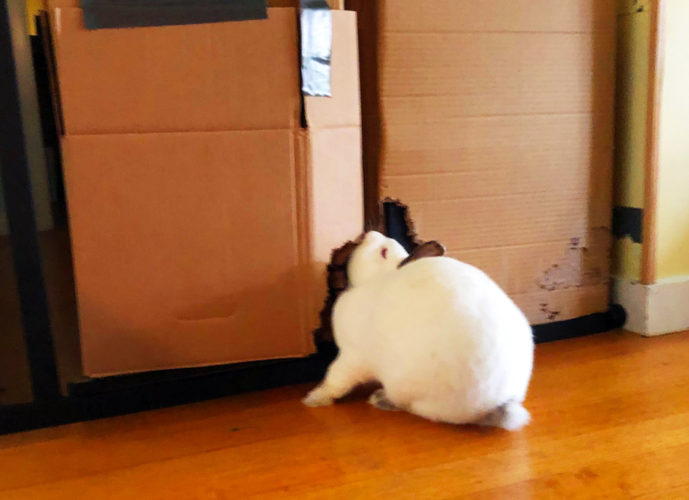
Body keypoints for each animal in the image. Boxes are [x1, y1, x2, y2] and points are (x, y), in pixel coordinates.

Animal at [303, 231, 534, 431]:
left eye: (383, 252)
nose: (369, 233)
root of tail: (499, 403)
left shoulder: (352, 356)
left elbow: (336, 379)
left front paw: (314, 399)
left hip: (405, 385)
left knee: (408, 406)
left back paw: (381, 399)